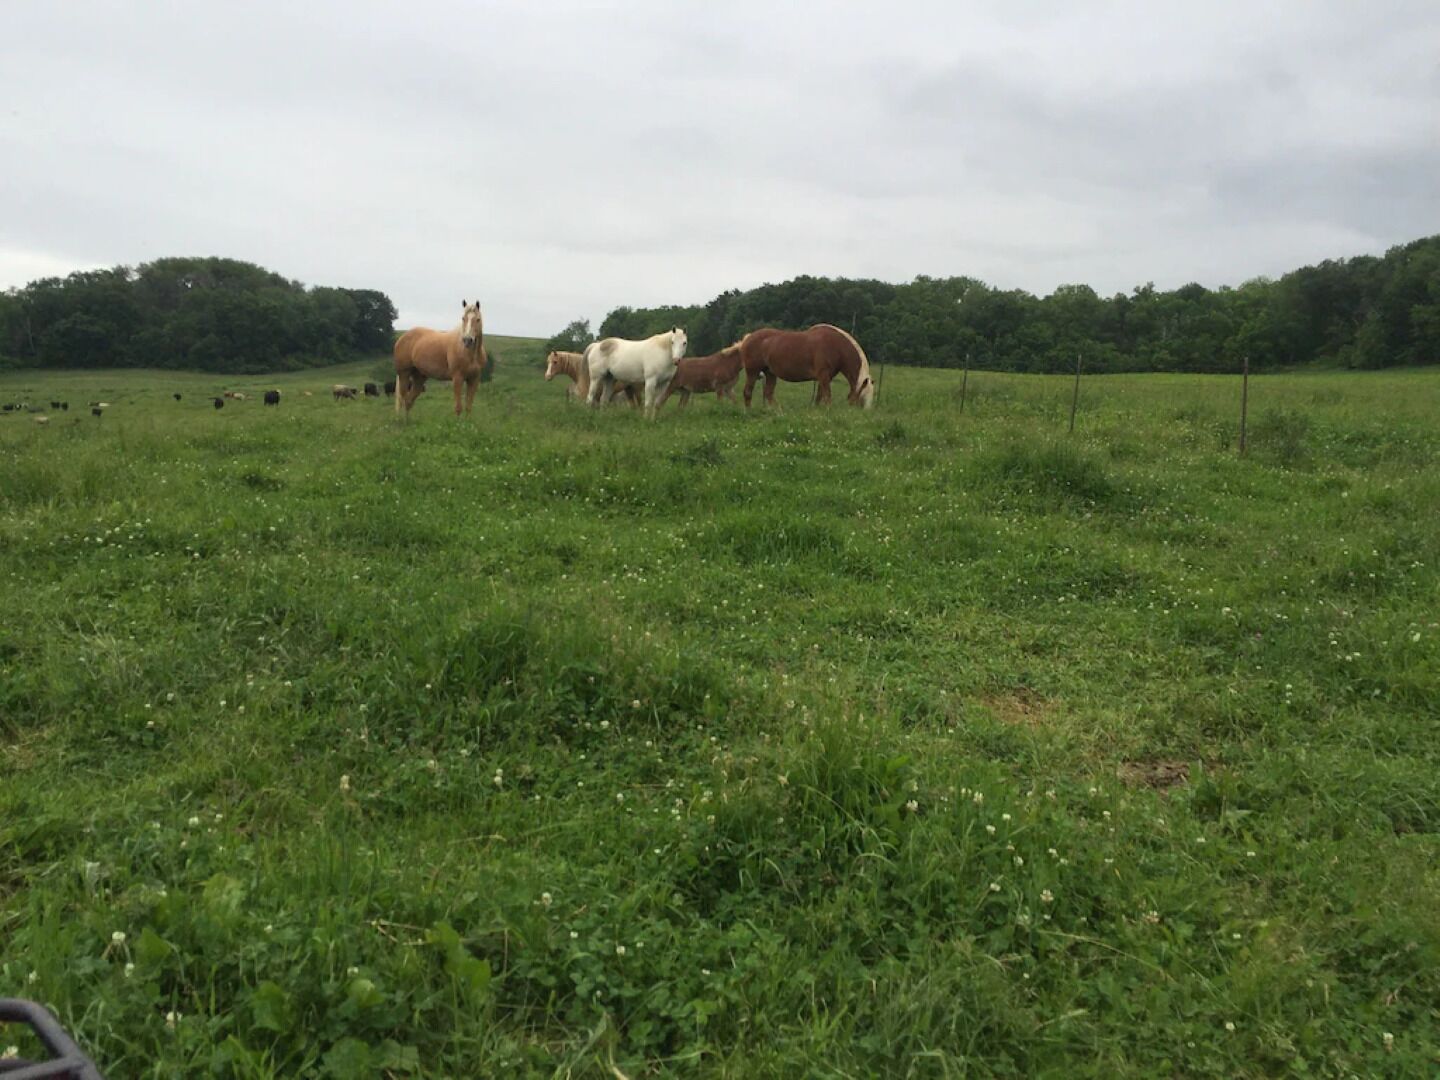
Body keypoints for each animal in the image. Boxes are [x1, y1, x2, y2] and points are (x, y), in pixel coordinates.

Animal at [738, 324, 875, 408]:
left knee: (768, 394)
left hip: (770, 373)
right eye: (862, 400)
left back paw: (778, 412)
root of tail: (748, 337)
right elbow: (827, 395)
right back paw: (749, 411)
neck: (836, 346)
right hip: (752, 372)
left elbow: (819, 396)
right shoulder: (823, 375)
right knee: (748, 392)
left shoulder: (825, 377)